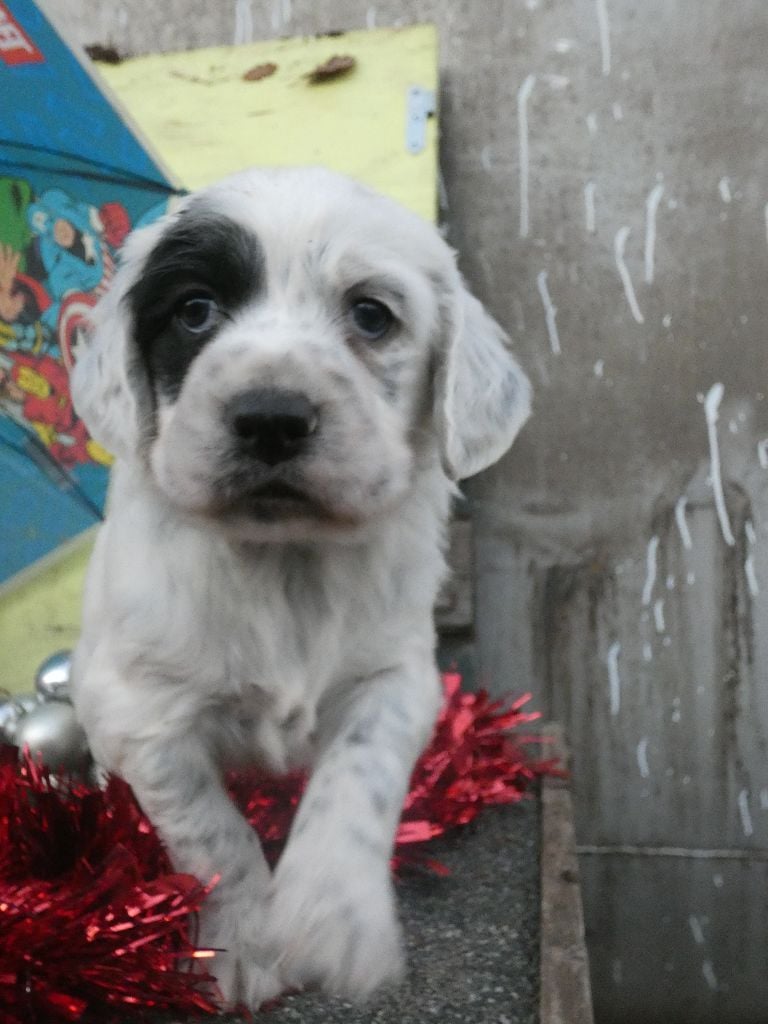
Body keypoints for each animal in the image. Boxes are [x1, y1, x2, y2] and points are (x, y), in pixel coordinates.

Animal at [69, 167, 532, 1007]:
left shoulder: (396, 676)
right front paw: (246, 944)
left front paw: (332, 916)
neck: (284, 562)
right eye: (194, 311)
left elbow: (357, 776)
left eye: (371, 315)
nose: (271, 418)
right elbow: (210, 829)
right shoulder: (136, 709)